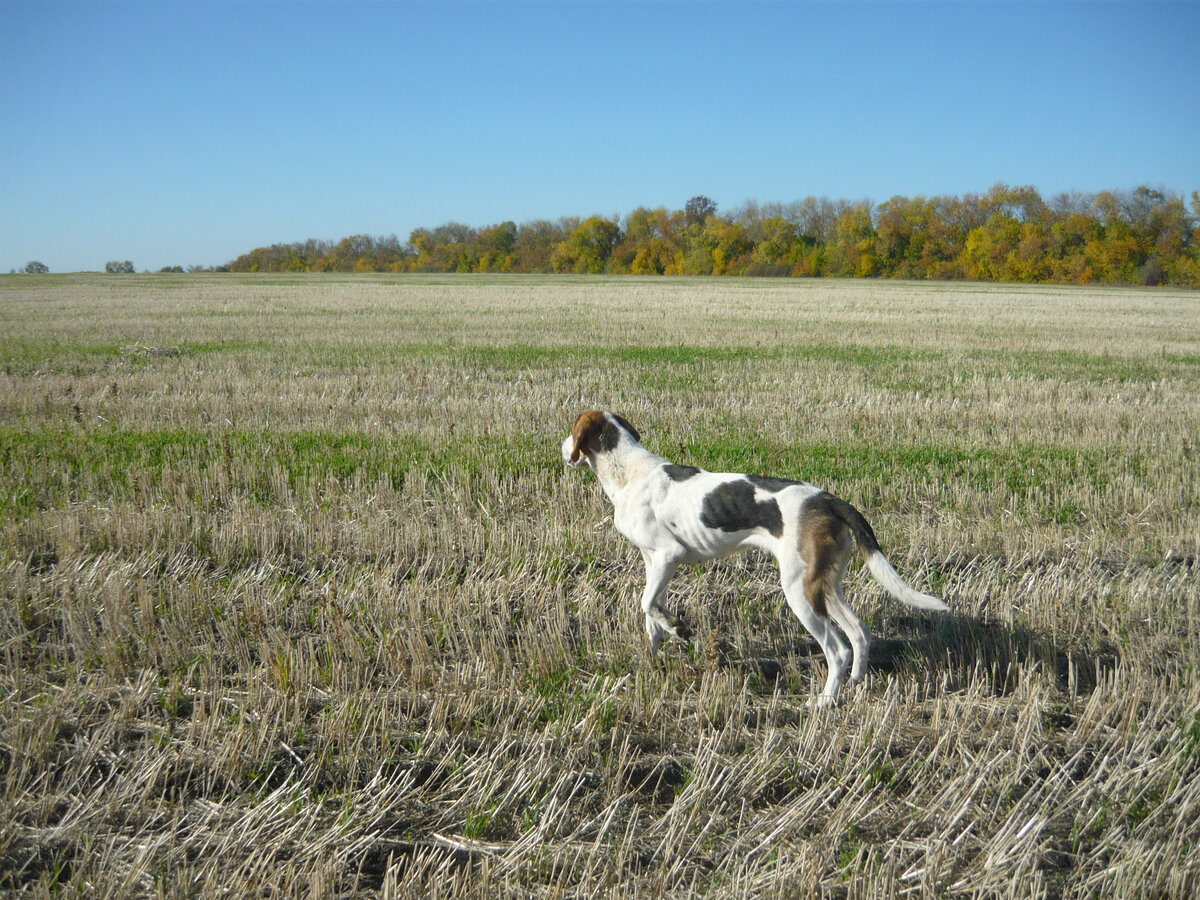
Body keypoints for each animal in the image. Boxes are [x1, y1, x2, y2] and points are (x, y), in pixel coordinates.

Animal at [561, 412, 945, 710]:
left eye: (572, 430)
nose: (562, 448)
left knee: (837, 650)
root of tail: (827, 500)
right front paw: (656, 651)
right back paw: (853, 686)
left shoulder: (667, 555)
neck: (628, 471)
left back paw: (823, 701)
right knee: (860, 633)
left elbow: (645, 603)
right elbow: (651, 610)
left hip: (799, 591)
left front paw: (677, 628)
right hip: (824, 585)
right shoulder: (655, 563)